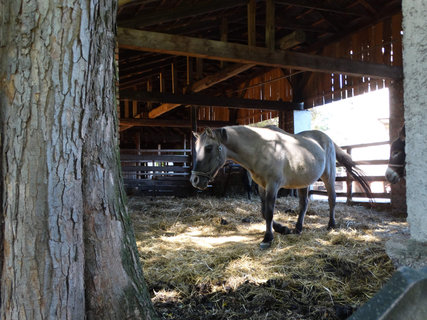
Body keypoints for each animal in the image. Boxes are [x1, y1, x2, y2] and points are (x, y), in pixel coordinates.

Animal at [191, 126, 372, 249]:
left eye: (208, 148)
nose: (194, 180)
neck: (262, 147)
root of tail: (326, 138)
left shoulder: (273, 185)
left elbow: (270, 212)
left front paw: (268, 238)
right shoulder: (262, 186)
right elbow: (264, 212)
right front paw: (283, 229)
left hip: (329, 176)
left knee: (332, 199)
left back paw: (331, 225)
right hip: (304, 182)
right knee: (303, 204)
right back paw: (297, 228)